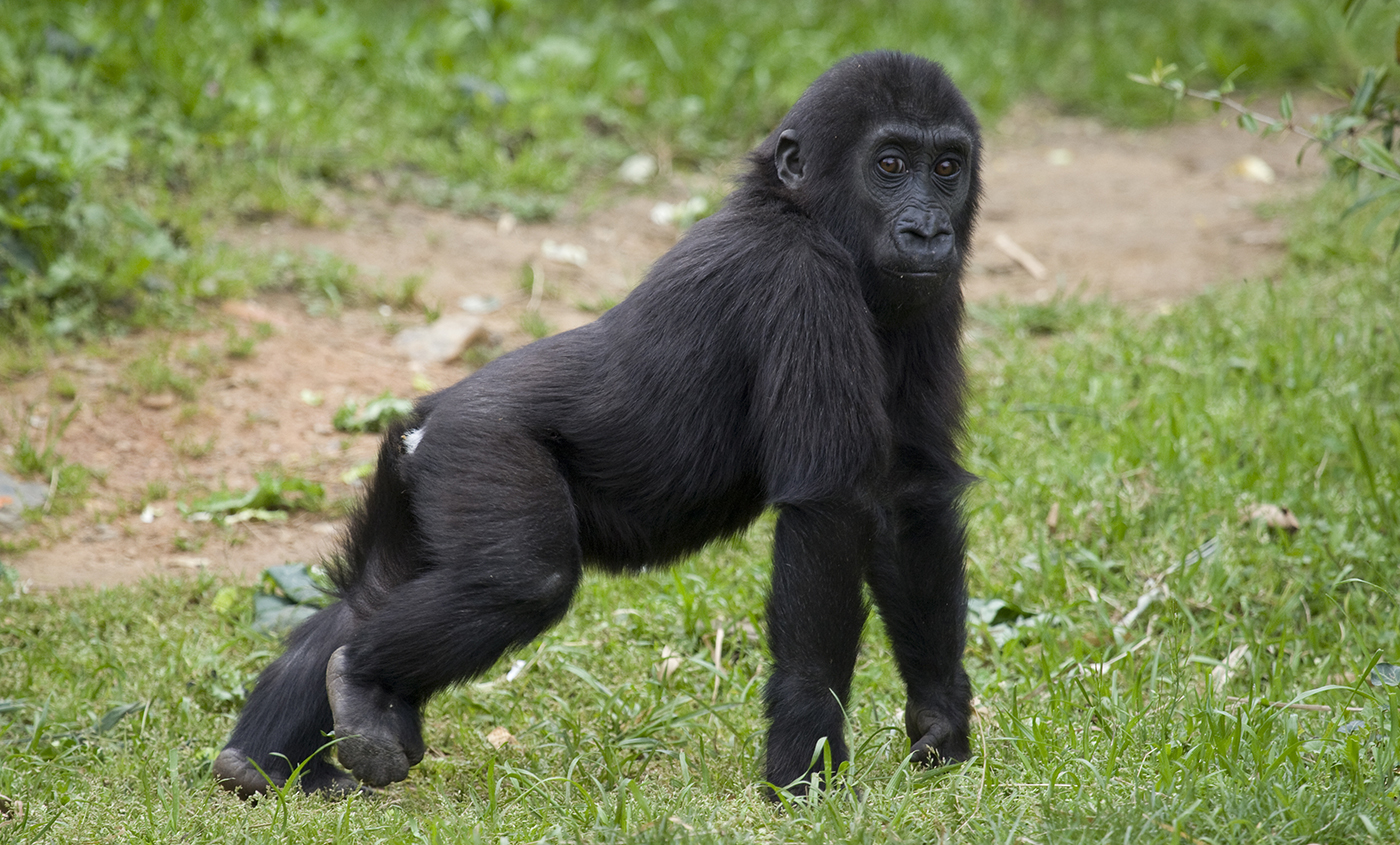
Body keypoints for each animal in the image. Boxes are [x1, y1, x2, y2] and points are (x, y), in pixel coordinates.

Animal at [212, 49, 985, 800]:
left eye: (947, 168)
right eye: (890, 164)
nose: (928, 229)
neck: (797, 206)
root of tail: (426, 421)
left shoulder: (931, 295)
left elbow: (908, 495)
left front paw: (940, 717)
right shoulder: (799, 279)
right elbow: (827, 513)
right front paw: (806, 759)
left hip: (416, 473)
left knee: (368, 595)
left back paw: (269, 757)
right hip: (478, 450)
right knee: (525, 580)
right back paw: (360, 680)